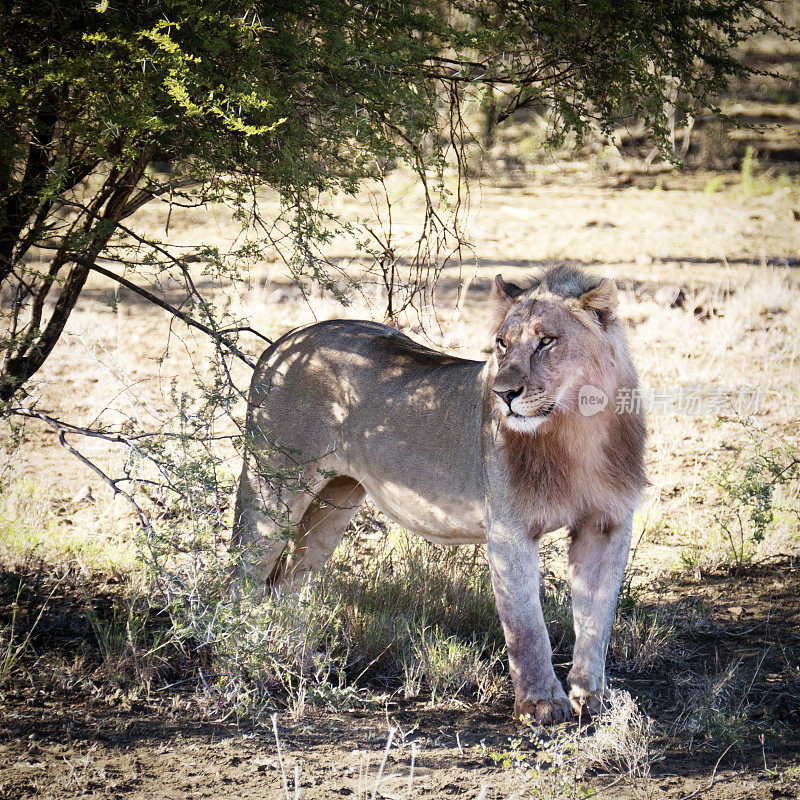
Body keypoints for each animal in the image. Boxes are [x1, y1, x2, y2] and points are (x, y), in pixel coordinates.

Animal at [233, 268, 648, 724]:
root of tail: (283, 342)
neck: (577, 430)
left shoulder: (607, 525)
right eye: (503, 343)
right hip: (273, 489)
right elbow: (526, 625)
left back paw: (300, 663)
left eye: (546, 341)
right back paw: (241, 659)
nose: (503, 393)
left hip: (334, 500)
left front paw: (593, 698)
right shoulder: (509, 530)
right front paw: (540, 704)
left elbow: (597, 618)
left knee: (287, 583)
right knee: (241, 575)